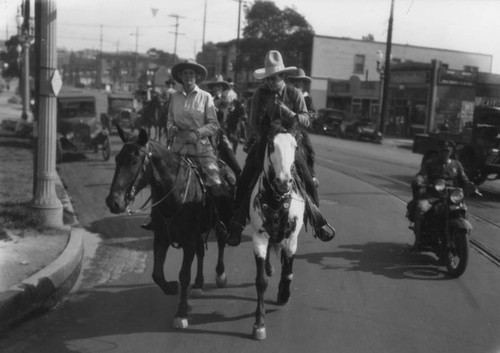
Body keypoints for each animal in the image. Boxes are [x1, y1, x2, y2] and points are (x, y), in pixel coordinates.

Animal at [106, 124, 234, 328]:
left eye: (134, 161)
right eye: (117, 159)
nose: (113, 202)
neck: (176, 191)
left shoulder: (188, 241)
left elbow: (184, 274)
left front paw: (181, 313)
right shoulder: (161, 237)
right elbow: (157, 274)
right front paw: (172, 288)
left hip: (221, 221)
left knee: (221, 242)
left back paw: (220, 275)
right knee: (201, 251)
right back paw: (198, 285)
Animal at [249, 123, 306, 338]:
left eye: (295, 146)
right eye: (272, 145)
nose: (284, 182)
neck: (276, 201)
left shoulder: (291, 240)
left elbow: (288, 272)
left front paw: (284, 295)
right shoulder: (259, 238)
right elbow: (261, 281)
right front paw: (259, 324)